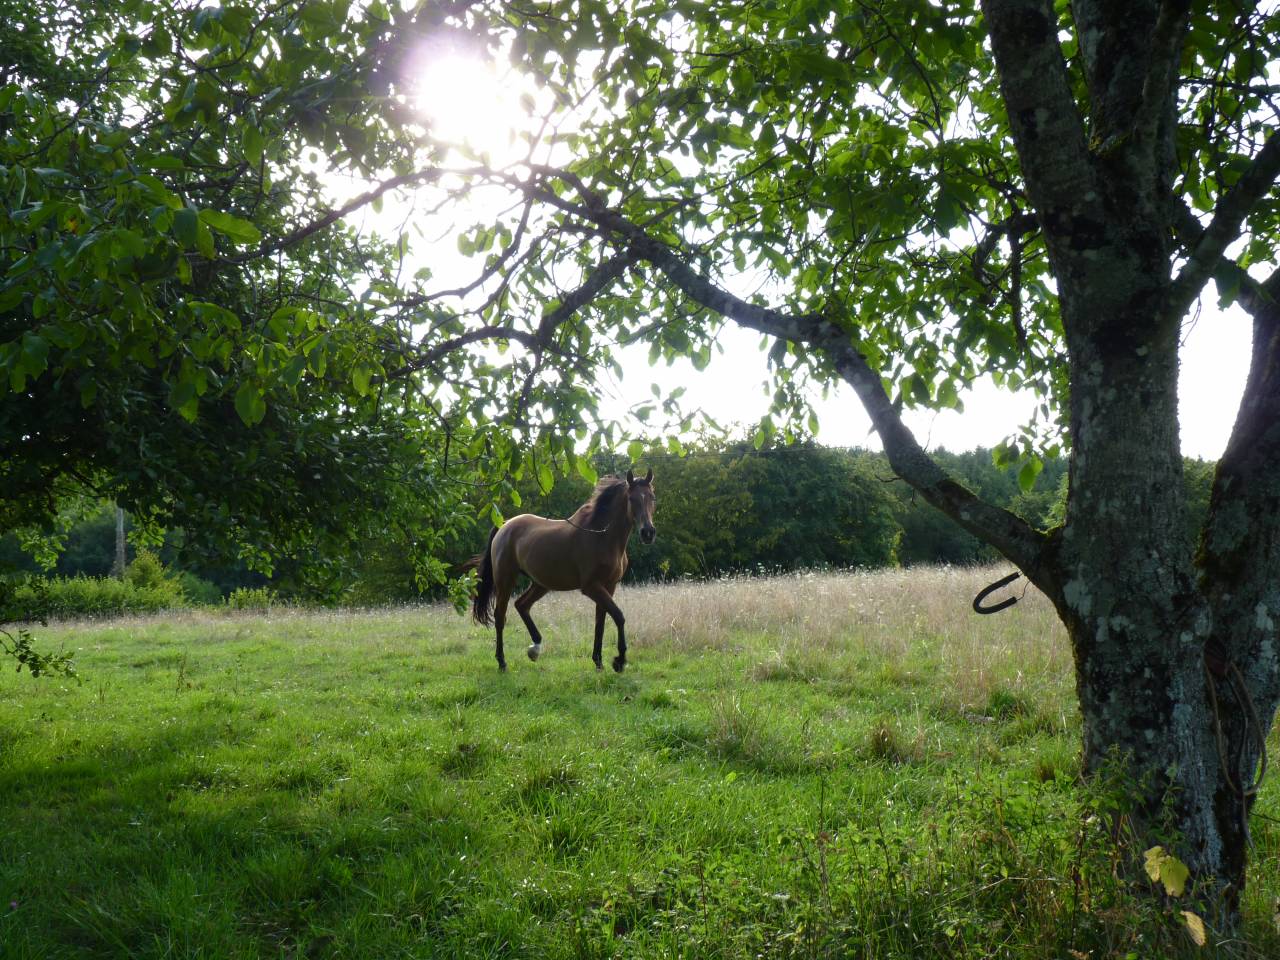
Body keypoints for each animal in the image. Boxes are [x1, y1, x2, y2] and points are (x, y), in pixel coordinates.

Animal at [469, 469, 656, 672]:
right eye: (631, 498)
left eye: (652, 497)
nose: (648, 532)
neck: (602, 537)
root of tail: (504, 525)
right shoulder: (591, 587)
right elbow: (619, 616)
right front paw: (619, 660)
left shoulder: (609, 586)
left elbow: (601, 621)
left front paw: (598, 662)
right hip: (506, 580)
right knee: (500, 616)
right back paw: (502, 662)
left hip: (541, 584)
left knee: (522, 605)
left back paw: (535, 648)